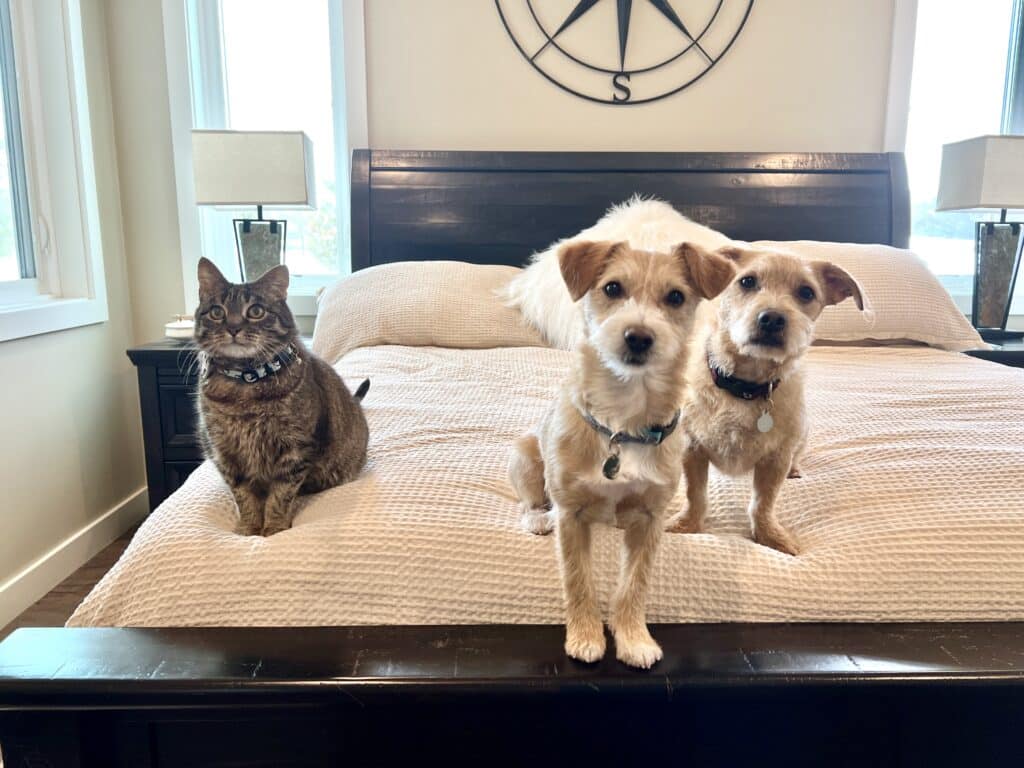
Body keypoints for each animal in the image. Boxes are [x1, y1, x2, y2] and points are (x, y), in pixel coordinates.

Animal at [193, 259, 370, 536]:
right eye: (216, 312)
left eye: (256, 311)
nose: (233, 327)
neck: (245, 382)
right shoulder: (226, 452)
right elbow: (243, 496)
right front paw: (249, 528)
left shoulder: (295, 449)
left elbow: (281, 494)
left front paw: (274, 528)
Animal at [507, 240, 733, 667]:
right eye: (612, 288)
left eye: (675, 296)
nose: (638, 336)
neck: (624, 420)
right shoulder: (571, 515)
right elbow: (578, 579)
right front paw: (585, 637)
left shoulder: (651, 518)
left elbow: (634, 584)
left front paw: (633, 638)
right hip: (524, 455)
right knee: (529, 502)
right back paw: (538, 519)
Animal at [663, 249, 864, 557]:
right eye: (747, 281)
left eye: (806, 292)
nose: (772, 319)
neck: (744, 387)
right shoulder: (692, 449)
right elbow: (694, 494)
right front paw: (688, 524)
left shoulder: (775, 460)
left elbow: (763, 502)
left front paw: (769, 535)